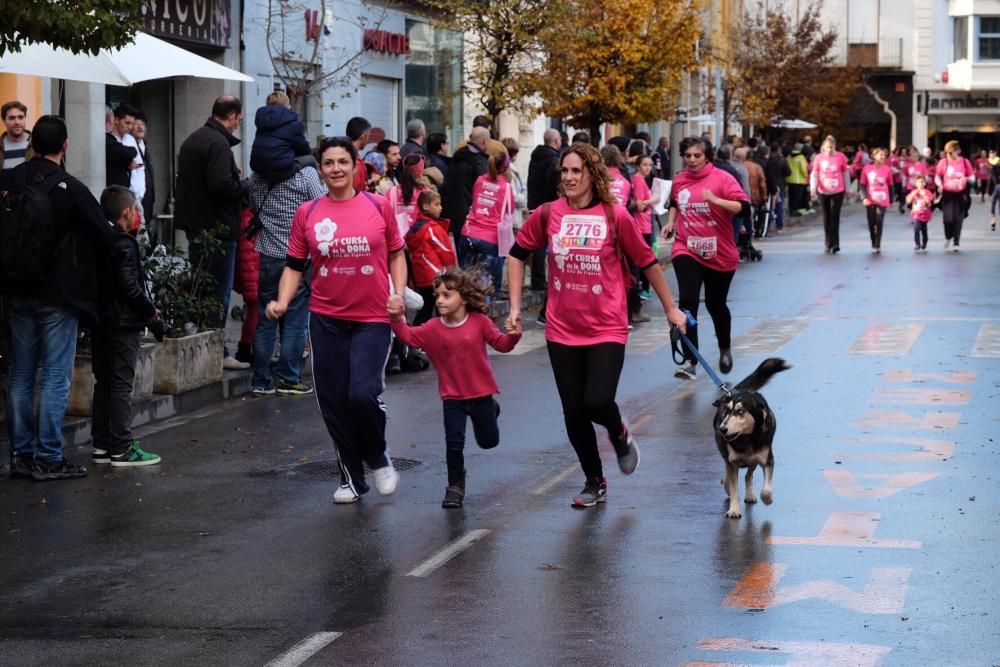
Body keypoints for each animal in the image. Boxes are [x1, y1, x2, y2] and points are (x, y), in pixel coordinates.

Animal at [716, 358, 792, 520]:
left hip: (754, 460)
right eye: (727, 410)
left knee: (748, 476)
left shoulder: (767, 460)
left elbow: (766, 489)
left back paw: (750, 494)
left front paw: (767, 499)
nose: (722, 429)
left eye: (740, 411)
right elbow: (734, 487)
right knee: (732, 474)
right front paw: (734, 509)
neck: (747, 439)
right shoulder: (732, 462)